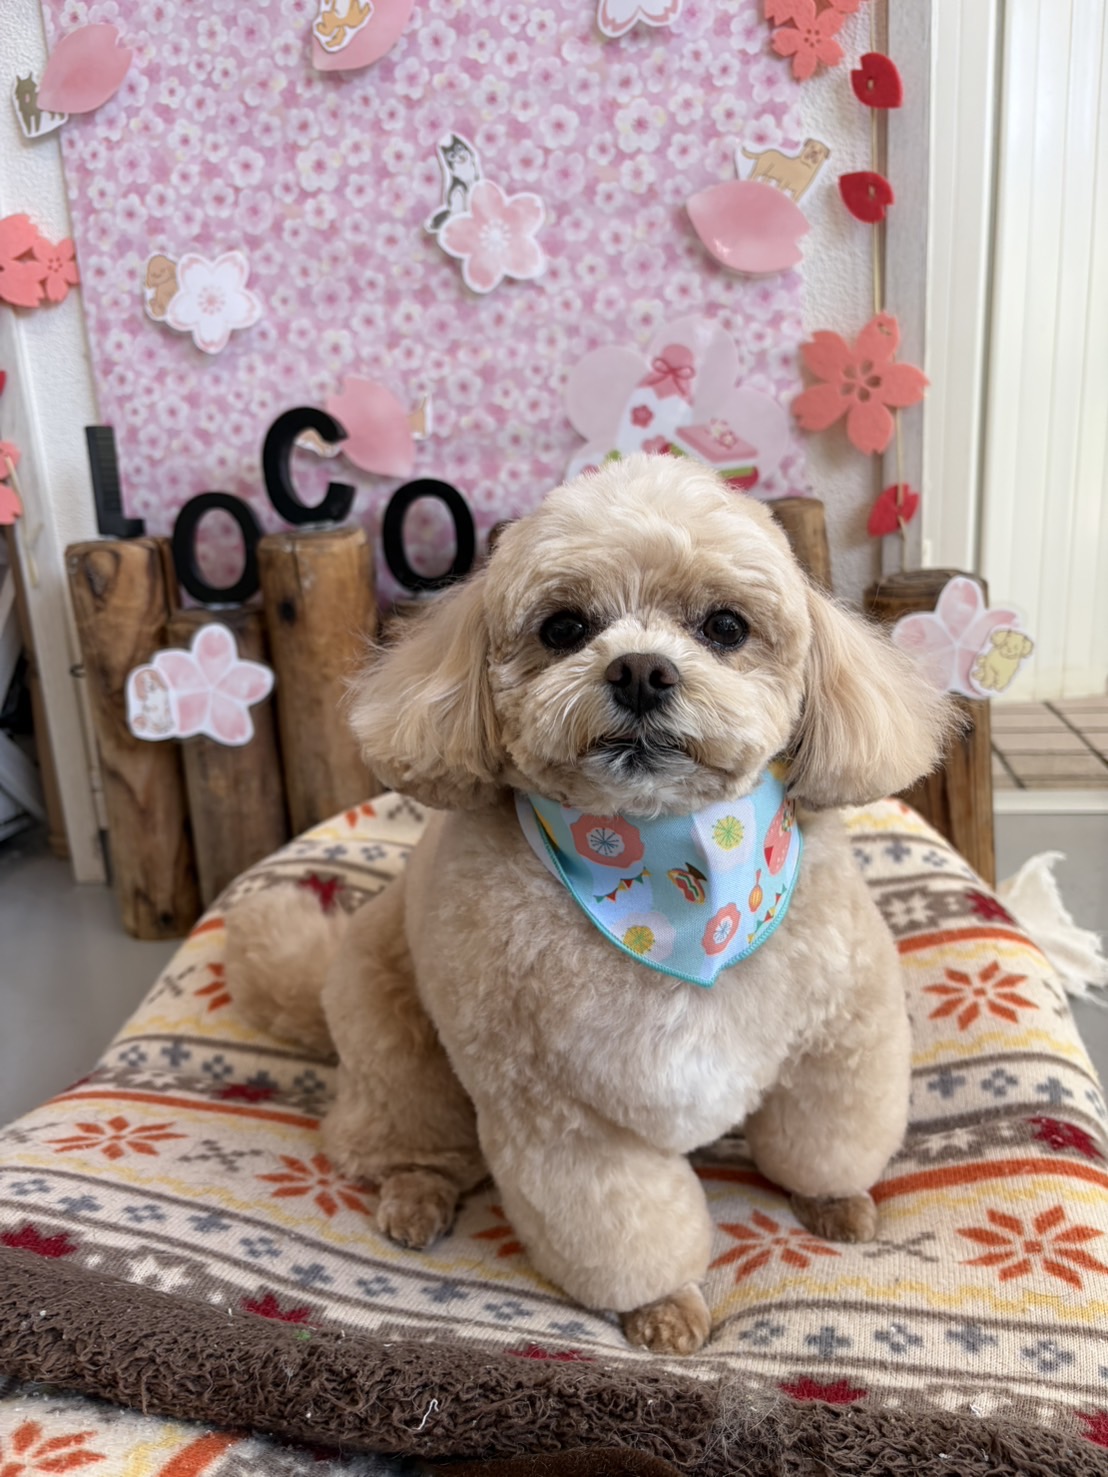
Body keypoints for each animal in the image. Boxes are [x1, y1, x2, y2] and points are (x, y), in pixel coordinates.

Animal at [227, 456, 952, 1356]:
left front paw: (835, 1200)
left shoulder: (839, 1035)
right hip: (397, 1045)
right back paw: (416, 1196)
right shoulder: (561, 1114)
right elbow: (622, 1226)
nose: (640, 669)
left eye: (724, 626)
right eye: (565, 627)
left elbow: (828, 1137)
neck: (670, 891)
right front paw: (665, 1307)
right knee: (395, 1141)